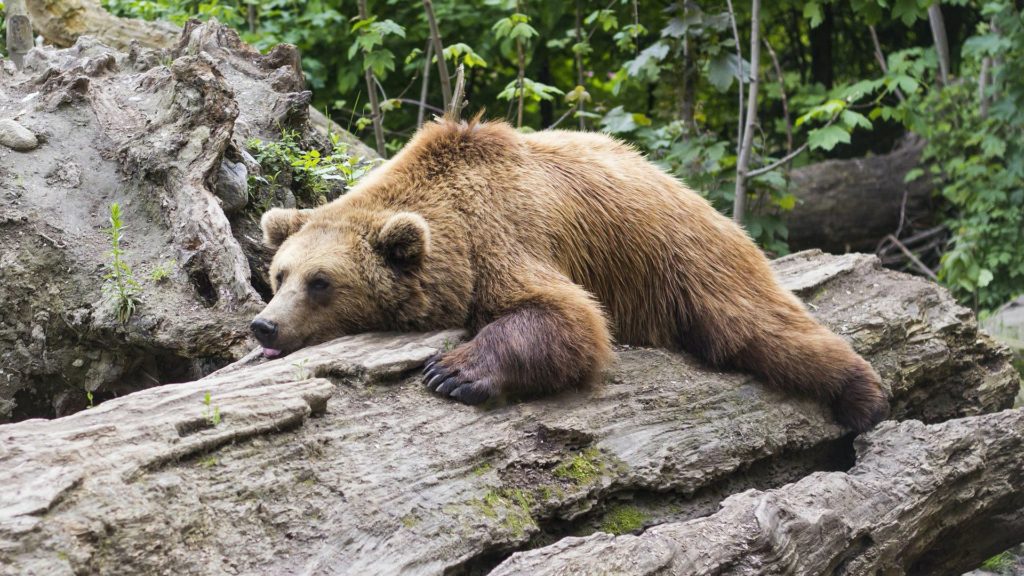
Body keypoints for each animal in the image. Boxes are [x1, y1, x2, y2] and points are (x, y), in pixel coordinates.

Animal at [253, 117, 888, 430]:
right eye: (280, 276)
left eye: (321, 282)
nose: (265, 326)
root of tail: (682, 185)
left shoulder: (505, 239)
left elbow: (568, 317)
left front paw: (452, 372)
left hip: (684, 258)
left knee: (758, 327)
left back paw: (864, 395)